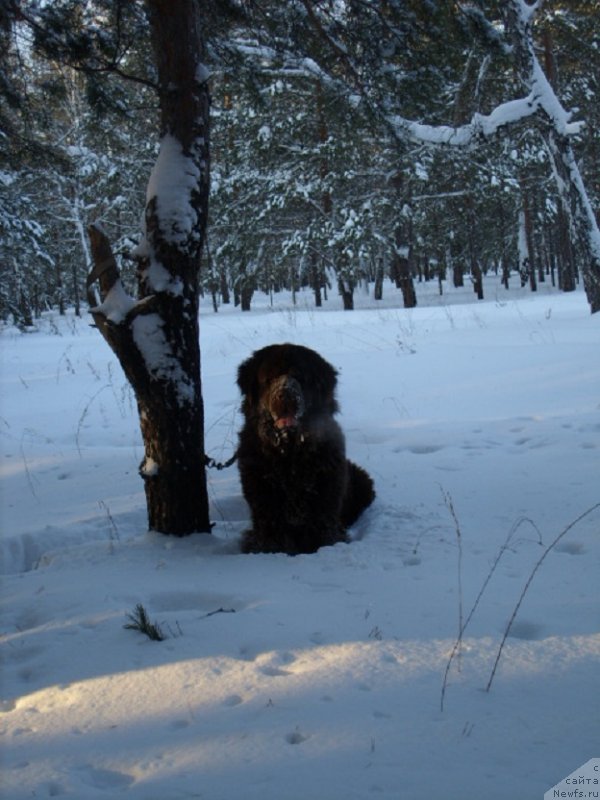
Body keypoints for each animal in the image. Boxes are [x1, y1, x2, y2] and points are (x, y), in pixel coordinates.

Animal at [236, 340, 372, 552]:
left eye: (299, 377)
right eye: (269, 379)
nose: (285, 394)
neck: (289, 453)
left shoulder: (324, 504)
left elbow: (324, 532)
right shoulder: (264, 506)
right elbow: (269, 534)